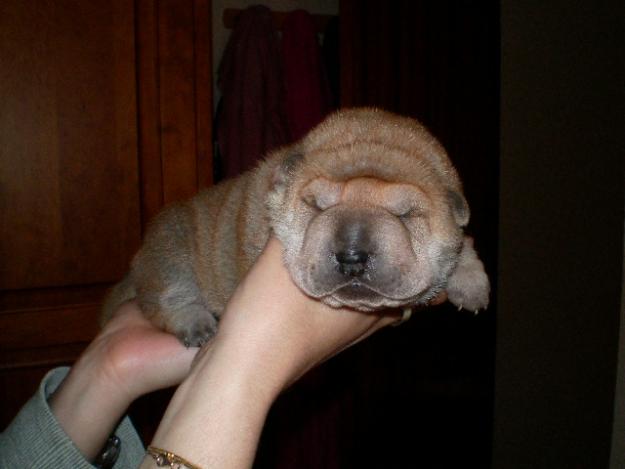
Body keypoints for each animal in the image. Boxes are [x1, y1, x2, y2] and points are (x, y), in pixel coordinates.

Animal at [102, 108, 488, 346]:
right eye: (316, 206)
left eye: (406, 215)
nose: (352, 256)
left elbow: (461, 244)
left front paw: (471, 282)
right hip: (171, 245)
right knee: (168, 296)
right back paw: (195, 323)